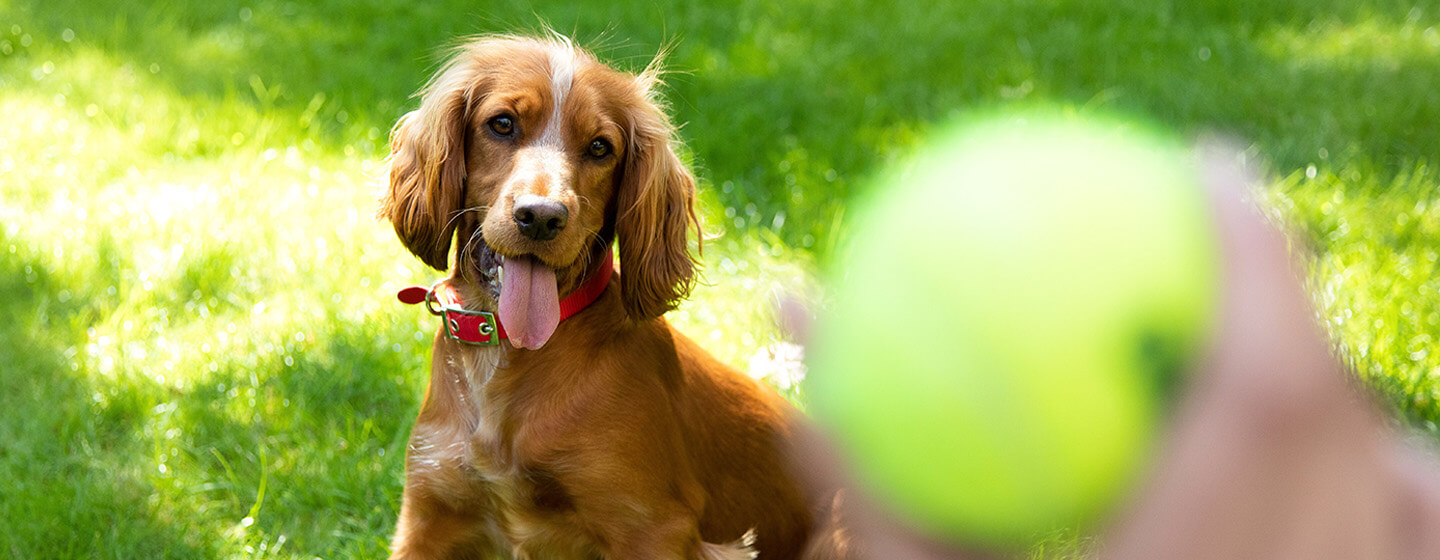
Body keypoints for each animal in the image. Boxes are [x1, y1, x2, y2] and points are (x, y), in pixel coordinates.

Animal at [377, 34, 817, 558]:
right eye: (501, 124)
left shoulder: (653, 527)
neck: (511, 355)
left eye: (600, 147)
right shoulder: (428, 515)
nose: (541, 217)